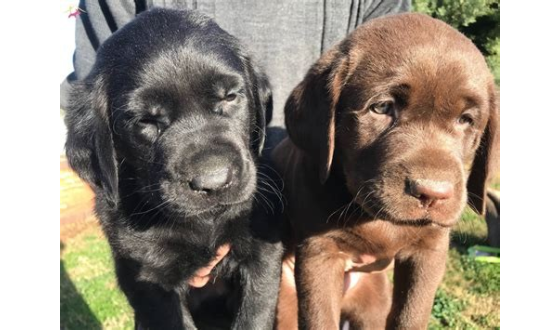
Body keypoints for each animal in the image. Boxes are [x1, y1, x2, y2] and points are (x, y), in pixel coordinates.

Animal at [65, 8, 282, 330]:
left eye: (230, 96)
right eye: (146, 121)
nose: (214, 181)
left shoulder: (263, 248)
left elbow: (255, 313)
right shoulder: (148, 277)